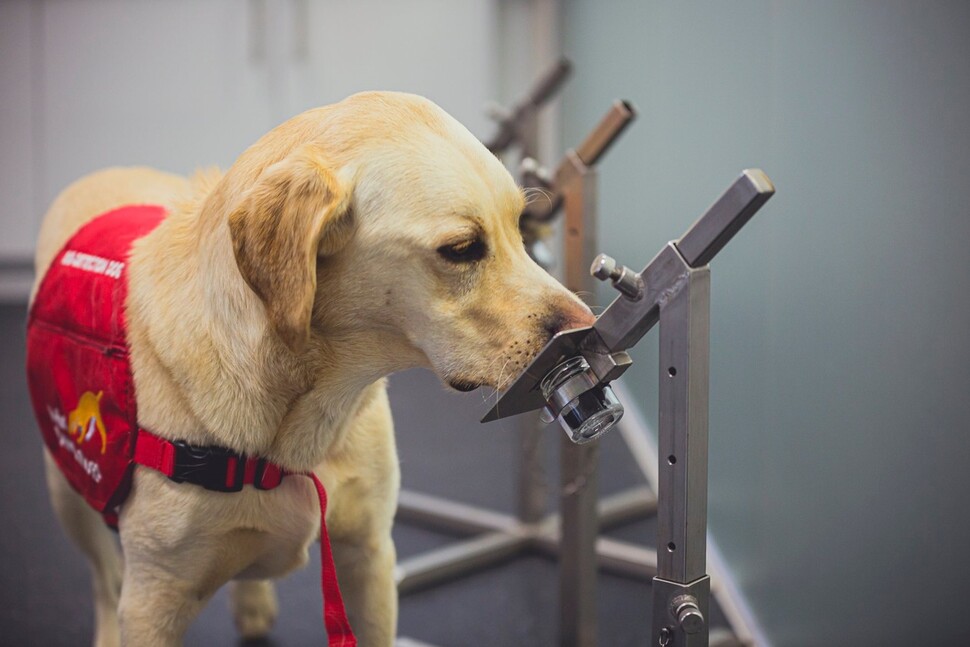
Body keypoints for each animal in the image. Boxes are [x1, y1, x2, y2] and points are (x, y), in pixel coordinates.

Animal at [36, 92, 588, 647]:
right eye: (461, 249)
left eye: (520, 228)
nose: (587, 326)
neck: (302, 420)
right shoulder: (153, 600)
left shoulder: (369, 559)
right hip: (68, 493)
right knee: (105, 578)